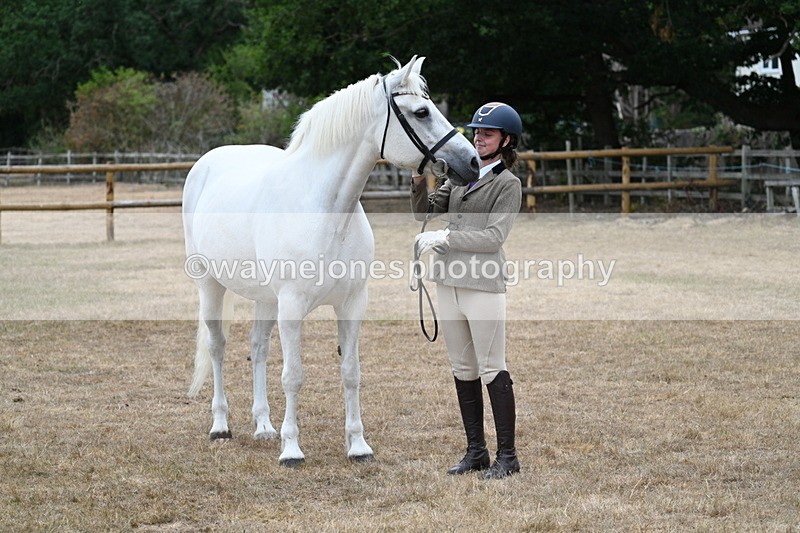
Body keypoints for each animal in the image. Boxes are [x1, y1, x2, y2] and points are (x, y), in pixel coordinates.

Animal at [182, 55, 479, 466]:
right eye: (421, 112)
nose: (473, 161)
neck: (326, 209)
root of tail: (207, 162)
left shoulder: (352, 304)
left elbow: (351, 372)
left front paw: (358, 446)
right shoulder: (291, 307)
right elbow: (293, 375)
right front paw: (291, 449)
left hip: (265, 298)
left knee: (257, 349)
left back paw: (263, 426)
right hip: (209, 284)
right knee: (217, 347)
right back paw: (221, 426)